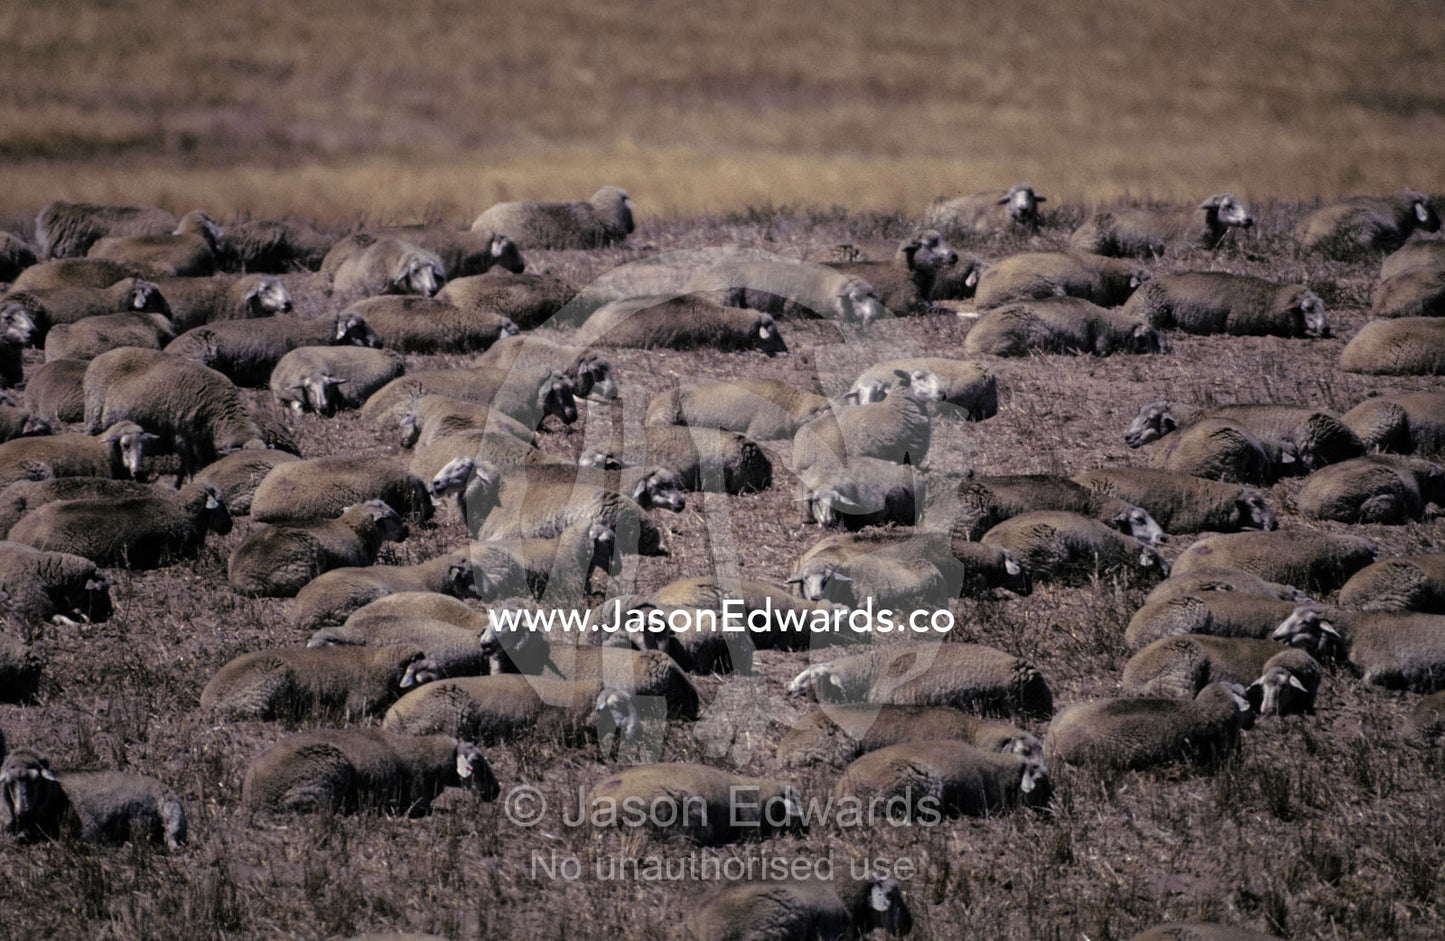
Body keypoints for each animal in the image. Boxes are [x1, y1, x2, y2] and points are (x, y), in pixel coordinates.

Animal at [83, 348, 269, 482]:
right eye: (244, 460)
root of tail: (96, 360)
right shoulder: (182, 437)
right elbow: (189, 465)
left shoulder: (200, 443)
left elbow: (190, 465)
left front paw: (178, 485)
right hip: (93, 419)